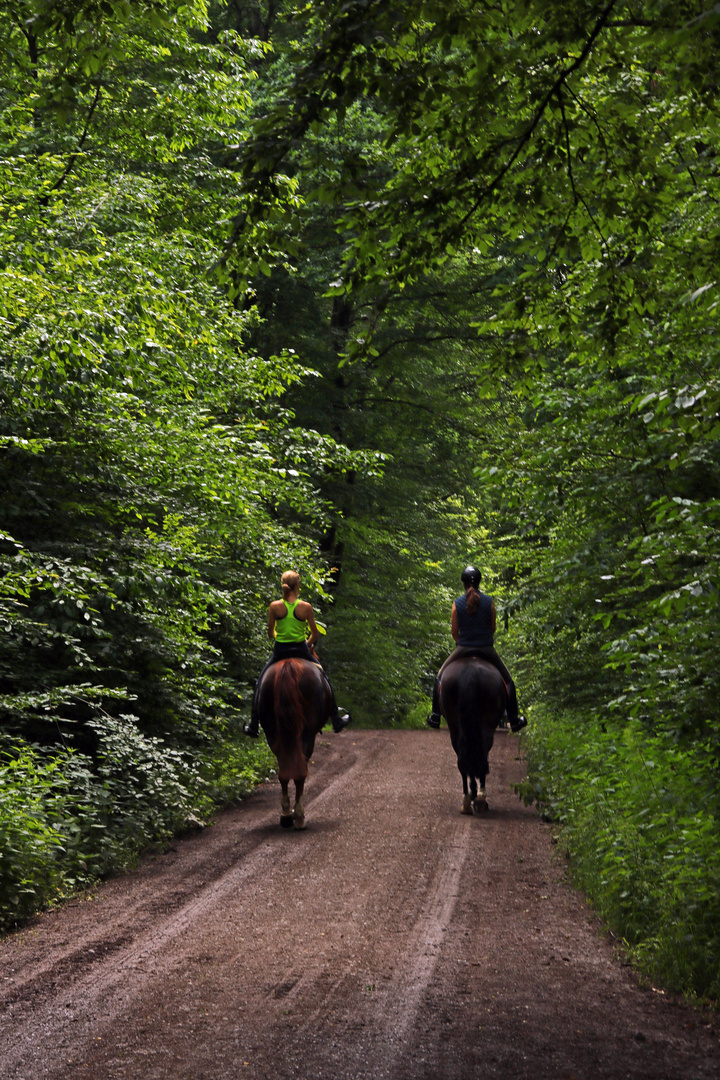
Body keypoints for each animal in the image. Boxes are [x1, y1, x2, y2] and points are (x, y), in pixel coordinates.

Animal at [254, 656, 330, 825]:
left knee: (283, 772)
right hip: (307, 733)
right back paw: (299, 815)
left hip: (272, 732)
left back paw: (285, 814)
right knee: (300, 772)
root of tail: (288, 666)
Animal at [440, 652, 507, 812]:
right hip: (485, 724)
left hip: (455, 726)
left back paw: (468, 800)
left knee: (464, 758)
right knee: (481, 753)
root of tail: (469, 671)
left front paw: (473, 793)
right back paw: (479, 798)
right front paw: (477, 793)